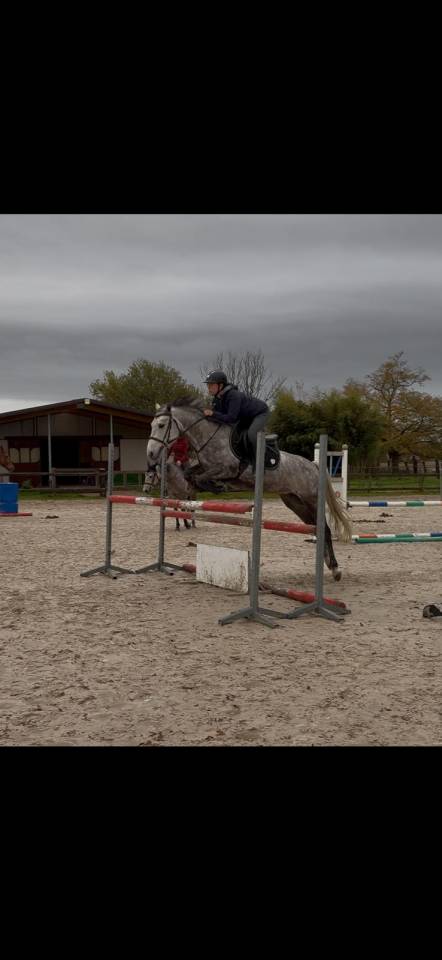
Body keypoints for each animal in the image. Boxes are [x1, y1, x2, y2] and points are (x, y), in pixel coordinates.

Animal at [143, 397, 352, 581]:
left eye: (161, 425)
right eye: (151, 425)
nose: (151, 454)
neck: (208, 437)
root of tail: (313, 465)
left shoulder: (226, 468)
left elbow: (203, 477)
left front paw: (217, 486)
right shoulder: (202, 467)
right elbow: (189, 475)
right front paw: (209, 485)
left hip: (311, 499)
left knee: (324, 528)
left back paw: (335, 569)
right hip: (294, 502)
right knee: (315, 527)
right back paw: (328, 563)